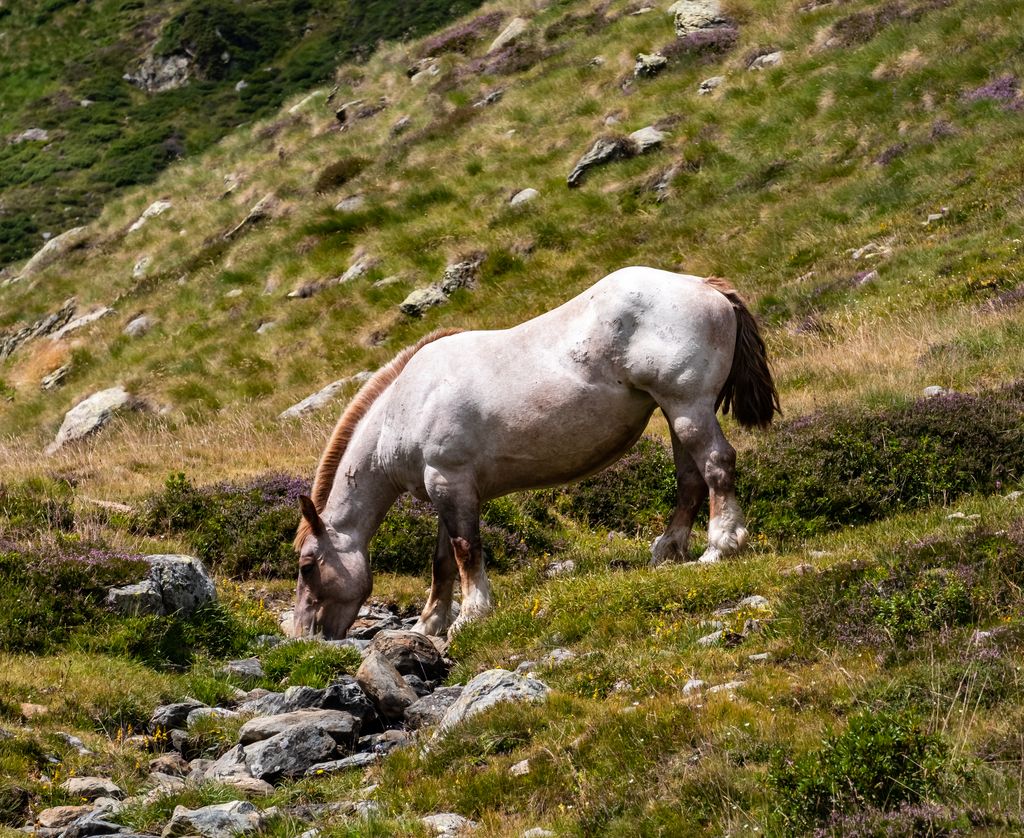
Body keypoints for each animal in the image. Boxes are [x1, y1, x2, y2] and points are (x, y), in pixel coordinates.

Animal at [288, 266, 779, 640]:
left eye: (308, 566)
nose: (303, 636)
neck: (405, 404)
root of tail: (704, 286)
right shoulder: (449, 489)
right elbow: (443, 561)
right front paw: (429, 624)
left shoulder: (450, 480)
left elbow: (466, 552)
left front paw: (471, 616)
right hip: (678, 414)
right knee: (691, 480)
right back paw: (668, 551)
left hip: (688, 407)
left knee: (716, 465)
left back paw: (720, 546)